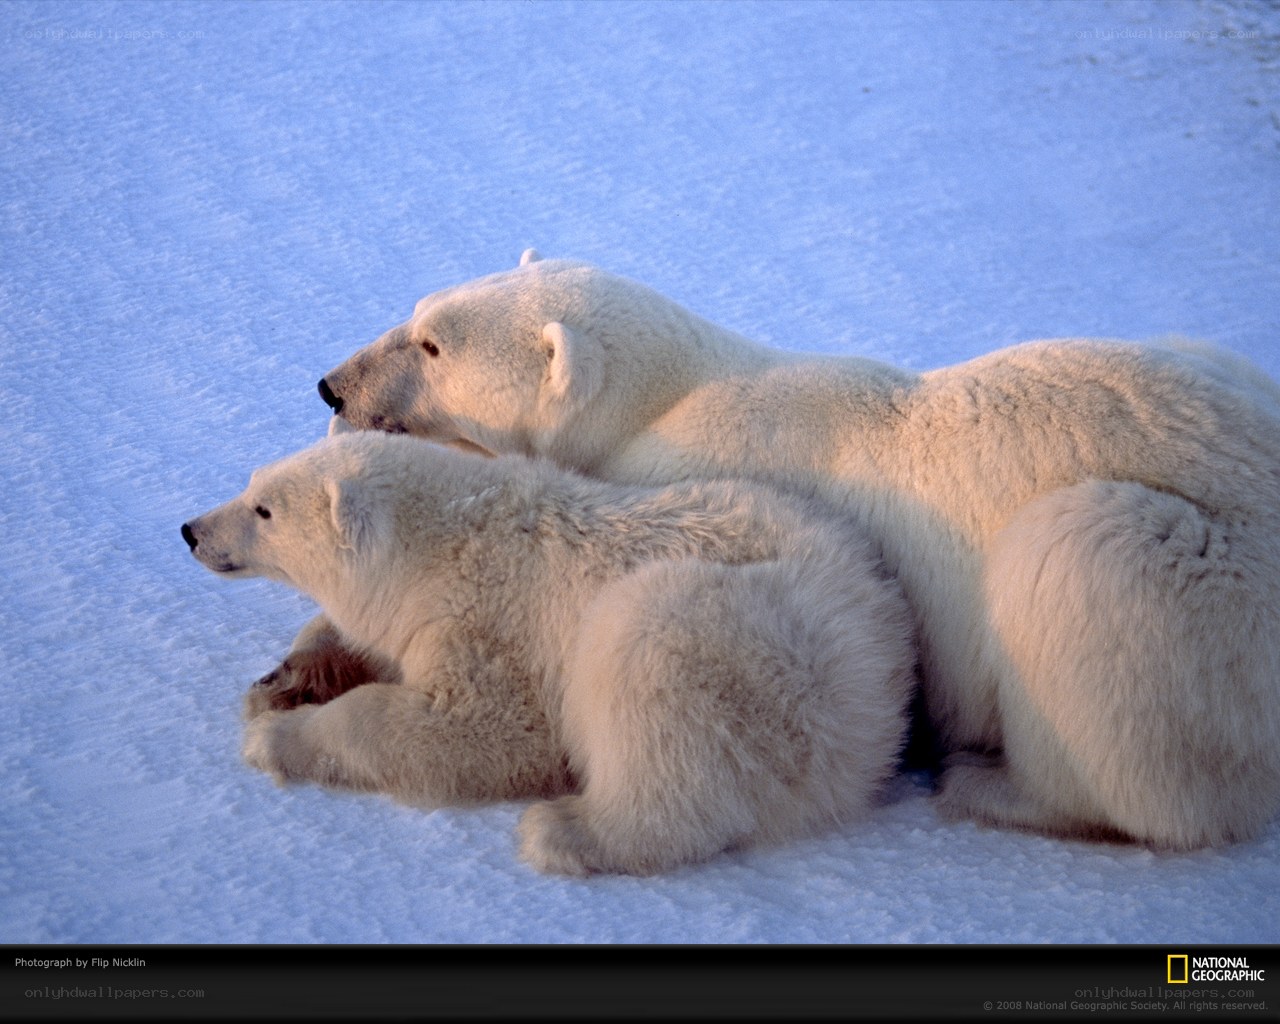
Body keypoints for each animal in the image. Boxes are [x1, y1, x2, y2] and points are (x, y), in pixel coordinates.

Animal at [182, 432, 916, 875]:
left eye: (264, 510)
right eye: (252, 480)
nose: (191, 529)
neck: (442, 544)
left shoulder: (493, 621)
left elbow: (485, 728)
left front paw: (278, 739)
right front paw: (284, 681)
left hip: (760, 654)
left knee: (651, 683)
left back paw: (566, 831)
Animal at [307, 251, 1280, 851]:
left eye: (433, 345)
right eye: (417, 313)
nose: (331, 384)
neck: (669, 397)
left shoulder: (698, 475)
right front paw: (304, 667)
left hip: (1205, 588)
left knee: (1080, 576)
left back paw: (993, 785)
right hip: (1225, 368)